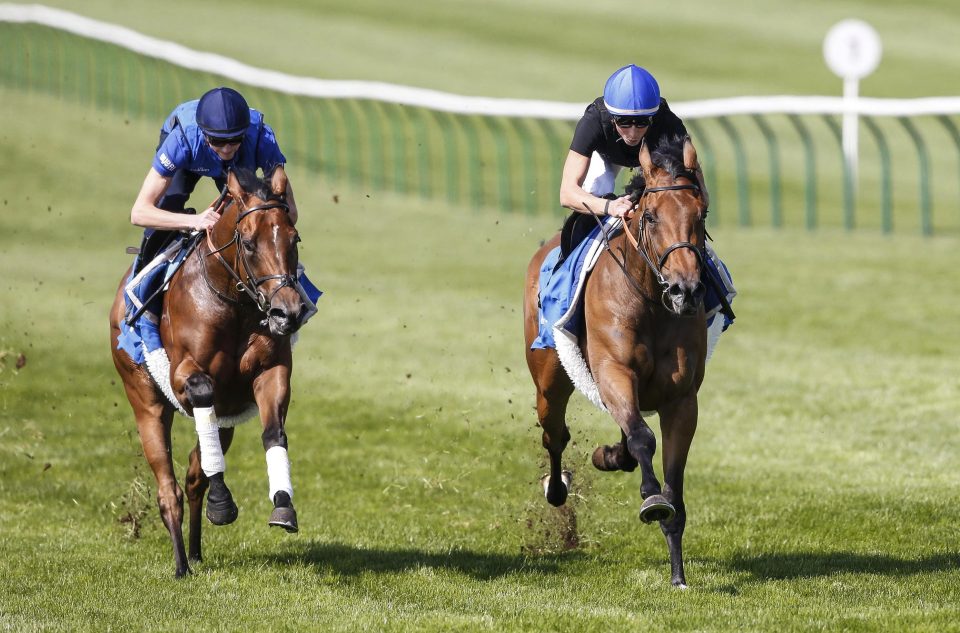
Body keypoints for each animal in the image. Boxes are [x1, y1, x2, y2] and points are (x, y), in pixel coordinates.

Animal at [112, 167, 308, 576]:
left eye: (294, 238)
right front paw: (222, 503)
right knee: (169, 487)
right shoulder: (183, 375)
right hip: (146, 402)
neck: (232, 302)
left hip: (227, 420)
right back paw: (182, 565)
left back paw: (196, 551)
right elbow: (202, 389)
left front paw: (283, 506)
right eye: (248, 243)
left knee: (193, 474)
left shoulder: (270, 371)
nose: (288, 312)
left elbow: (273, 432)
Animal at [520, 135, 708, 588]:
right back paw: (557, 487)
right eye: (652, 217)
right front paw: (651, 498)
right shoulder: (613, 372)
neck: (652, 303)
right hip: (549, 379)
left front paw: (678, 573)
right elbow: (642, 438)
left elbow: (674, 485)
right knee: (555, 435)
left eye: (701, 214)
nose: (687, 290)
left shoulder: (682, 399)